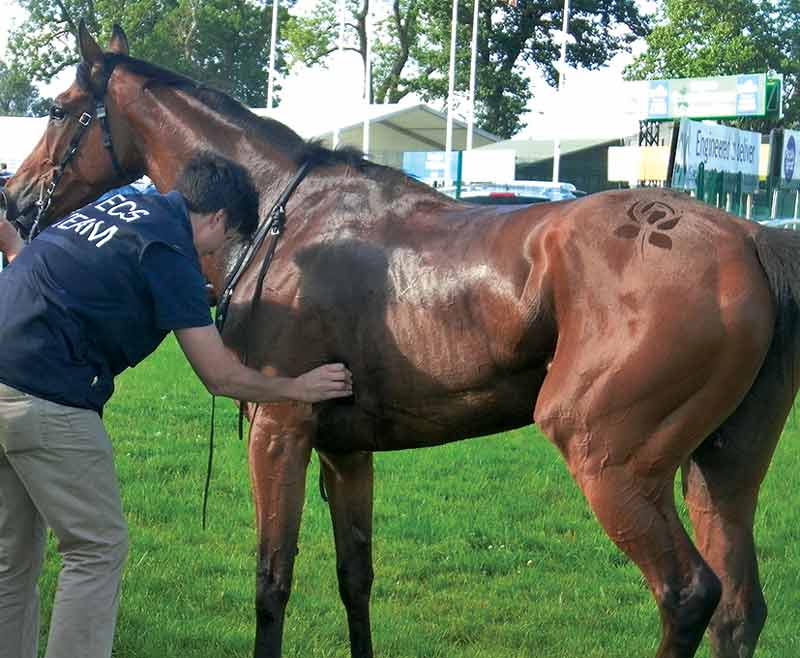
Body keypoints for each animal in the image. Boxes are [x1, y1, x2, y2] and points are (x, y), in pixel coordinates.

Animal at [1, 20, 800, 656]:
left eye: (58, 108)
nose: (14, 198)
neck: (284, 218)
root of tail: (752, 236)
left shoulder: (280, 428)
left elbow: (271, 580)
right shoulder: (346, 449)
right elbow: (355, 578)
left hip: (609, 456)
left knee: (688, 593)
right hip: (720, 469)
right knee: (738, 609)